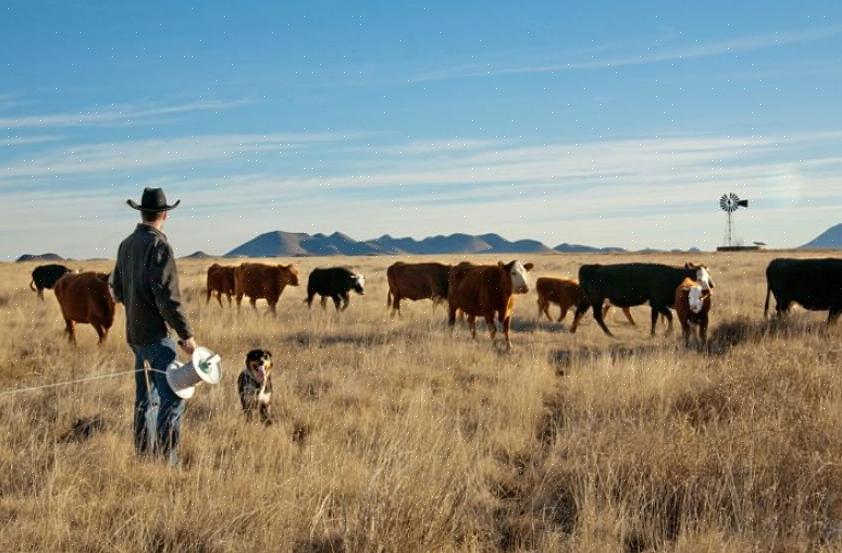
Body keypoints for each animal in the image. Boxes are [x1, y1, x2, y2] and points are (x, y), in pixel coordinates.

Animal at [568, 262, 712, 336]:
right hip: (596, 300)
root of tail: (588, 267)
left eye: (707, 278)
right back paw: (609, 333)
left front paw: (653, 333)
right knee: (597, 316)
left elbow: (655, 318)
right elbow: (669, 316)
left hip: (587, 299)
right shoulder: (658, 302)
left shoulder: (656, 305)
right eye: (698, 278)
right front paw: (667, 332)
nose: (707, 291)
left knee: (579, 312)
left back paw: (573, 330)